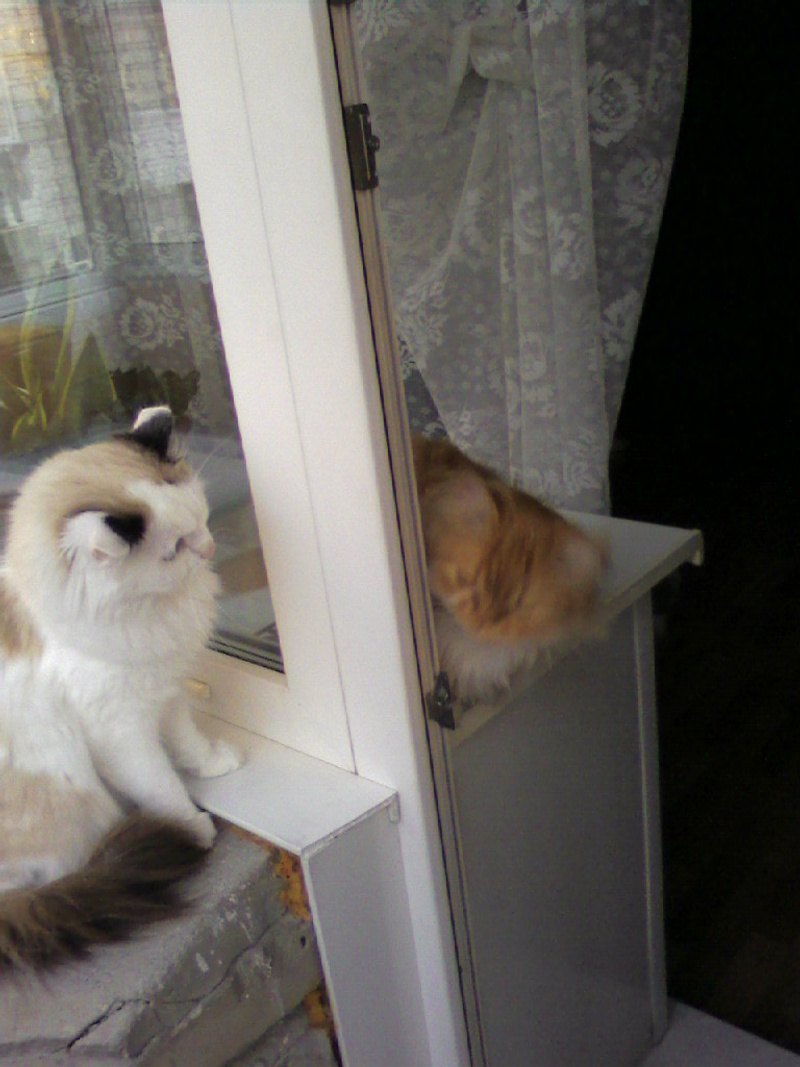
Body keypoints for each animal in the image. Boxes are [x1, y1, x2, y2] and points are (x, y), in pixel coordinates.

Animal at [0, 406, 243, 969]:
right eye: (172, 551)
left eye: (202, 516)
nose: (209, 548)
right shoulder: (119, 733)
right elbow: (162, 786)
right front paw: (194, 828)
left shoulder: (163, 689)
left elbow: (187, 742)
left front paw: (214, 765)